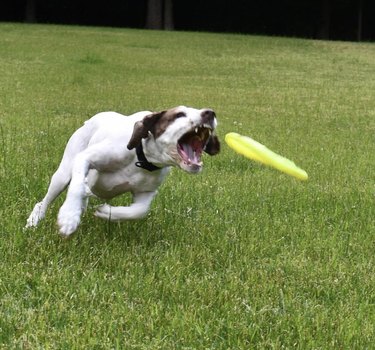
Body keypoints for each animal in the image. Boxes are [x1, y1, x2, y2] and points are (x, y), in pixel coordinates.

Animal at [25, 105, 220, 237]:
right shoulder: (86, 158)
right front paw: (69, 216)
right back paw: (34, 221)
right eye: (179, 114)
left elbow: (139, 211)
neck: (141, 158)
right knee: (44, 202)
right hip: (62, 174)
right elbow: (77, 186)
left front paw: (108, 212)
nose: (210, 113)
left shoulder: (146, 191)